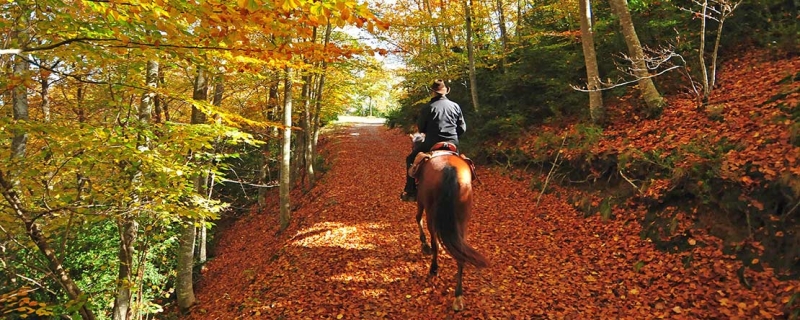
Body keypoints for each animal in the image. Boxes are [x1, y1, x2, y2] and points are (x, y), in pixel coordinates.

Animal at [410, 134, 484, 312]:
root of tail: (450, 169)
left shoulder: (420, 201)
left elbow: (417, 218)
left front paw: (424, 246)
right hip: (462, 217)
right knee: (460, 250)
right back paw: (458, 296)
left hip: (431, 212)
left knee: (435, 241)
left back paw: (433, 268)